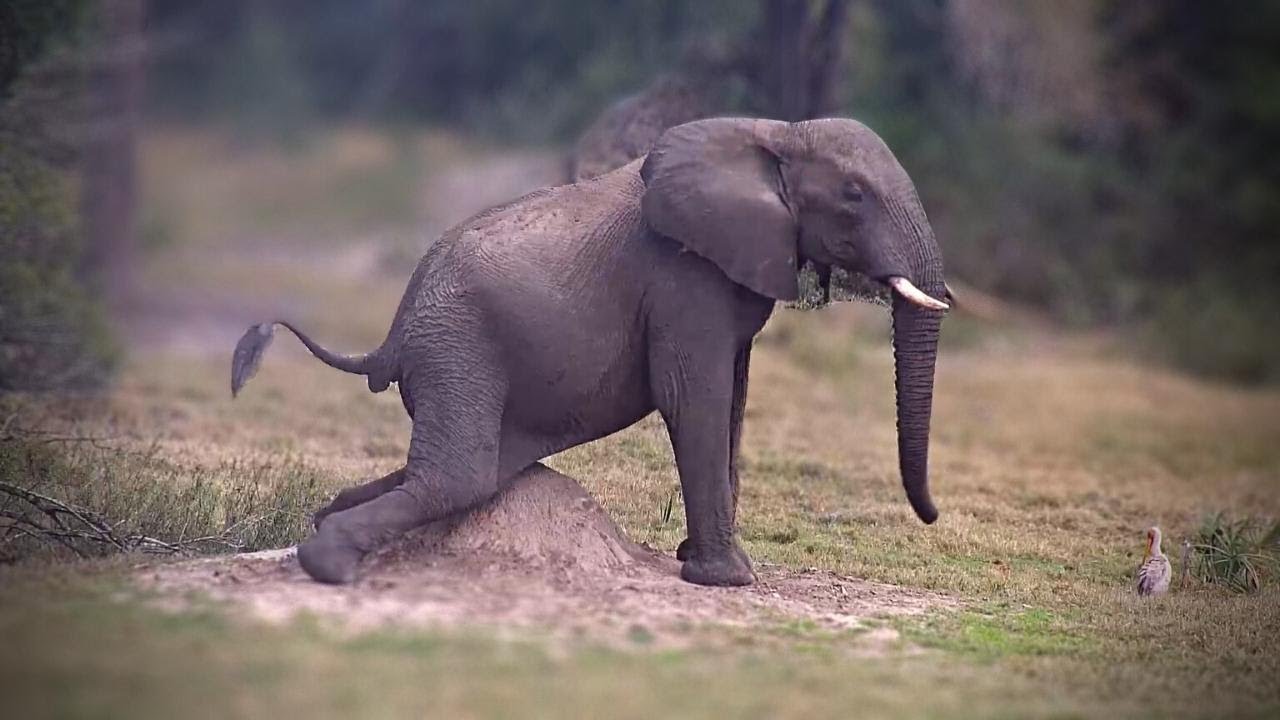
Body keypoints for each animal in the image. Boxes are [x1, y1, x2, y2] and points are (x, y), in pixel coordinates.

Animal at [232, 116, 951, 587]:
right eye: (854, 195)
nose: (932, 514)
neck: (778, 132)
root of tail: (393, 336)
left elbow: (733, 399)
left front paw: (703, 562)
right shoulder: (682, 275)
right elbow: (694, 396)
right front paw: (726, 579)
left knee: (472, 473)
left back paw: (324, 523)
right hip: (460, 347)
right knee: (460, 478)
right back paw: (328, 565)